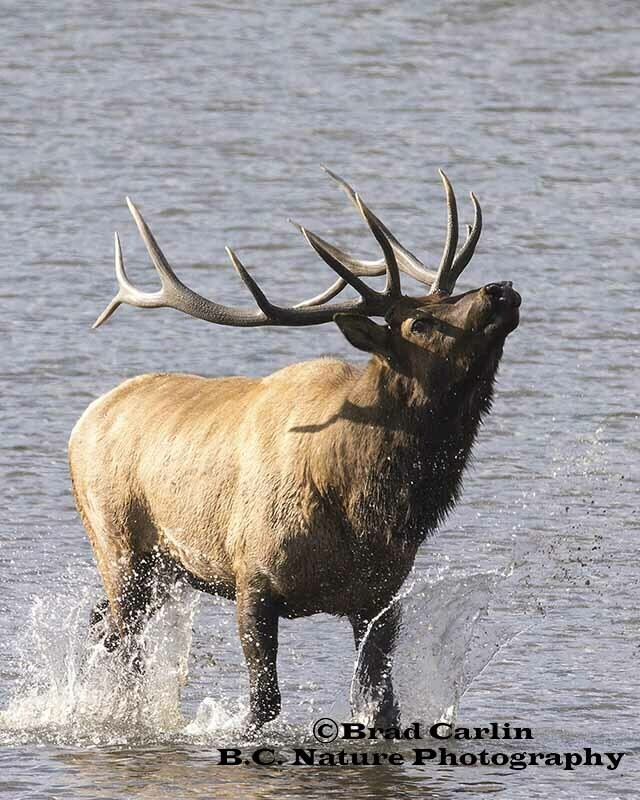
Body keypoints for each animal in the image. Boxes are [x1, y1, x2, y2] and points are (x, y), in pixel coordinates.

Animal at [69, 167, 521, 731]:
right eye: (419, 323)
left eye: (450, 298)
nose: (501, 289)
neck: (365, 504)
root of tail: (81, 423)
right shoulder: (252, 578)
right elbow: (264, 702)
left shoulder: (380, 596)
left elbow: (381, 705)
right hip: (119, 549)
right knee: (123, 646)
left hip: (162, 573)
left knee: (99, 626)